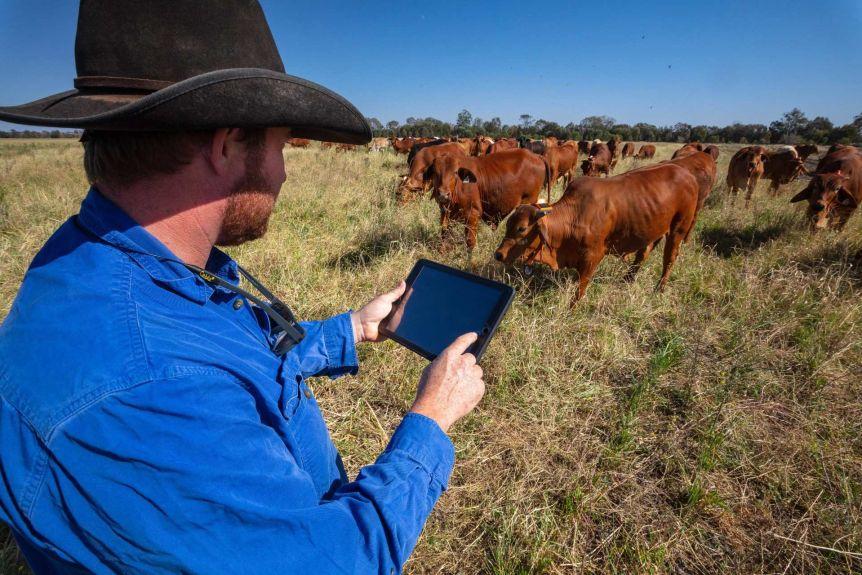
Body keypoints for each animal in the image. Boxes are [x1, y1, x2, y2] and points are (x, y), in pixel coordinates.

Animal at [492, 160, 704, 300]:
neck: (575, 215)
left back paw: (659, 288)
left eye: (521, 229)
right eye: (508, 225)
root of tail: (686, 173)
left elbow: (580, 290)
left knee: (669, 259)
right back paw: (627, 279)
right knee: (642, 254)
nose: (498, 255)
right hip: (653, 230)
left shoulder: (593, 256)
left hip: (678, 229)